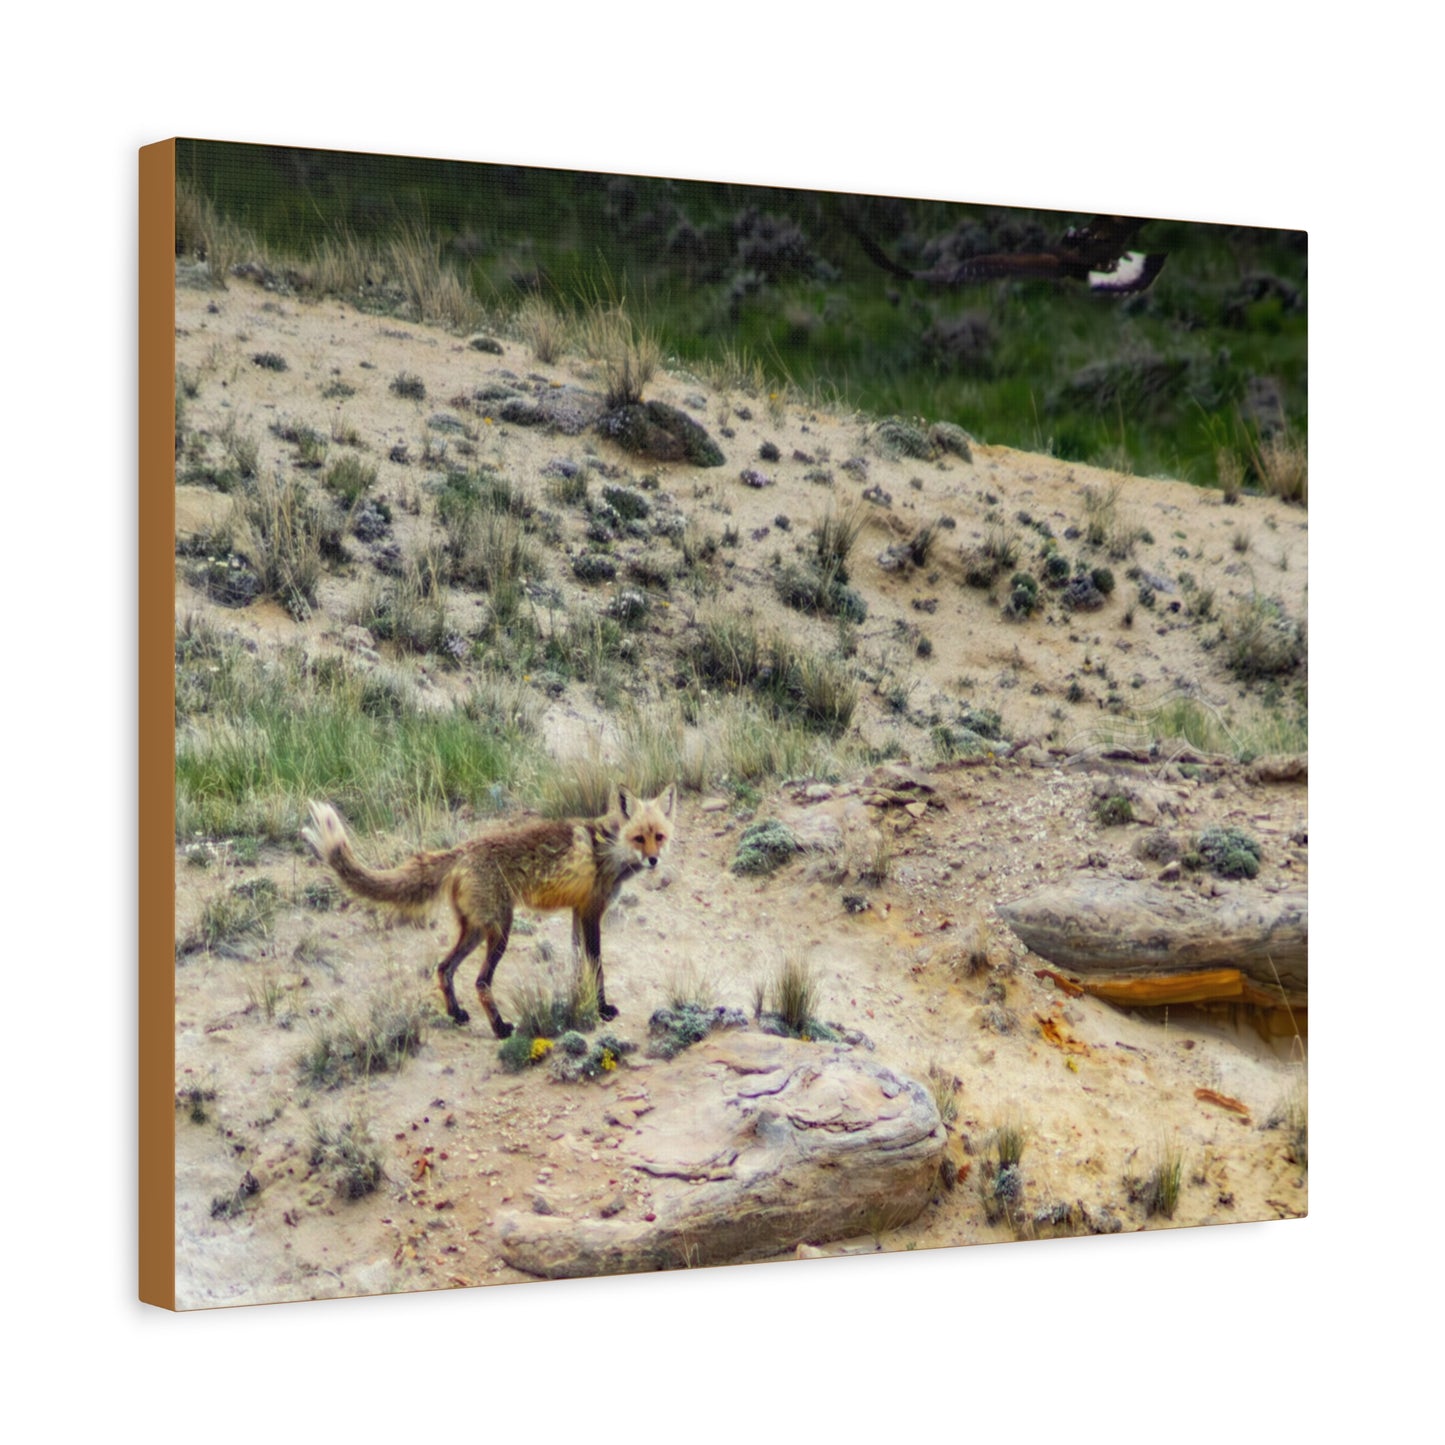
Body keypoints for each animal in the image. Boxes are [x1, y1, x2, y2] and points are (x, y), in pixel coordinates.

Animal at [301, 786, 676, 1038]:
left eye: (659, 836)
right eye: (640, 838)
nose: (654, 860)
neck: (609, 849)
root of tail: (461, 849)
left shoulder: (576, 911)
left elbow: (577, 964)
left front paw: (577, 1003)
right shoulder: (590, 912)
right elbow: (596, 966)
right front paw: (601, 1009)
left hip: (477, 930)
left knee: (444, 968)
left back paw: (456, 1015)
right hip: (501, 930)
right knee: (480, 982)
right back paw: (499, 1028)